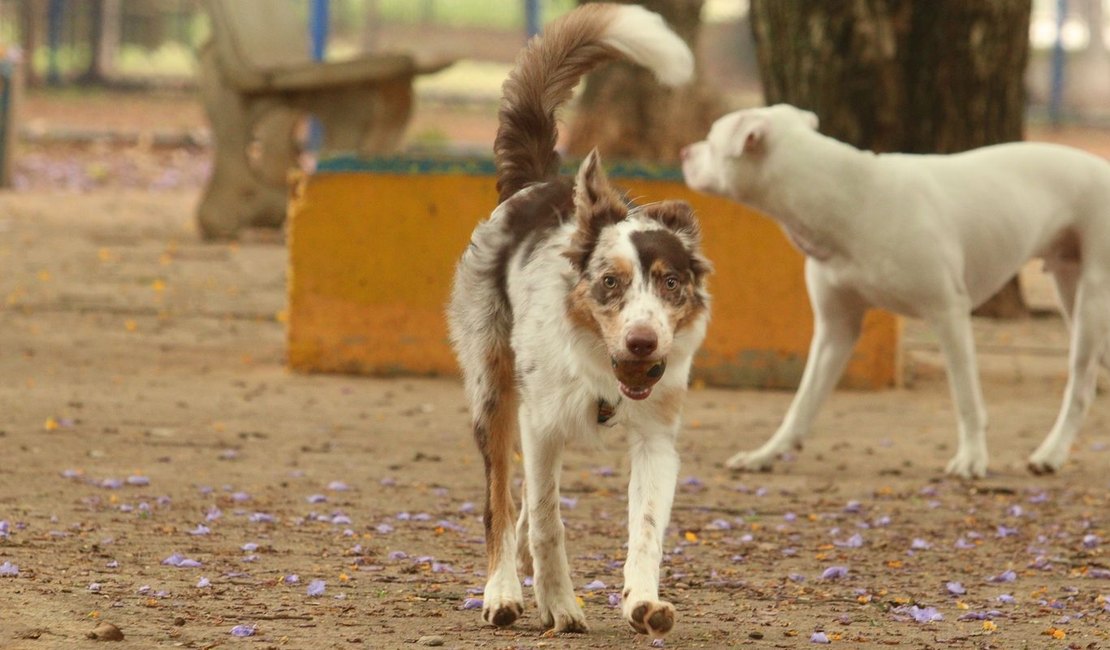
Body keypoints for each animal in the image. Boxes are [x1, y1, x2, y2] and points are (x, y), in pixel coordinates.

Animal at [448, 2, 710, 634]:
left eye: (670, 283)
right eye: (610, 282)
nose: (642, 343)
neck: (601, 371)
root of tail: (538, 182)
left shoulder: (657, 439)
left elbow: (646, 529)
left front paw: (642, 603)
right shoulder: (540, 425)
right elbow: (545, 520)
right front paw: (561, 606)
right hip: (493, 391)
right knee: (500, 502)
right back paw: (503, 590)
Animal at [679, 102, 1110, 474]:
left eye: (712, 139)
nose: (684, 151)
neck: (846, 198)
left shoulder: (949, 314)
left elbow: (966, 398)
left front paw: (972, 458)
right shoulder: (836, 329)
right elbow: (803, 402)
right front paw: (766, 454)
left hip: (1091, 305)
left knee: (1080, 385)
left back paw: (1050, 454)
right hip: (1070, 294)